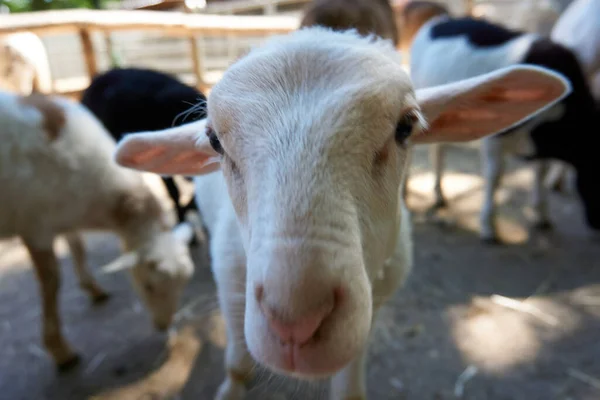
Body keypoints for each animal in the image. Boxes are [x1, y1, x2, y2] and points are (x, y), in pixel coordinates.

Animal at [0, 90, 197, 372]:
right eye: (148, 286)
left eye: (183, 285)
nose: (164, 325)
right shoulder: (37, 226)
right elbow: (51, 282)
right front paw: (60, 350)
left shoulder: (67, 217)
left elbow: (78, 248)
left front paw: (92, 287)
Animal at [113, 26, 572, 398]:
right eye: (214, 141)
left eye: (406, 126)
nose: (296, 320)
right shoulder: (230, 284)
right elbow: (237, 367)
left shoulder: (372, 310)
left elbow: (350, 389)